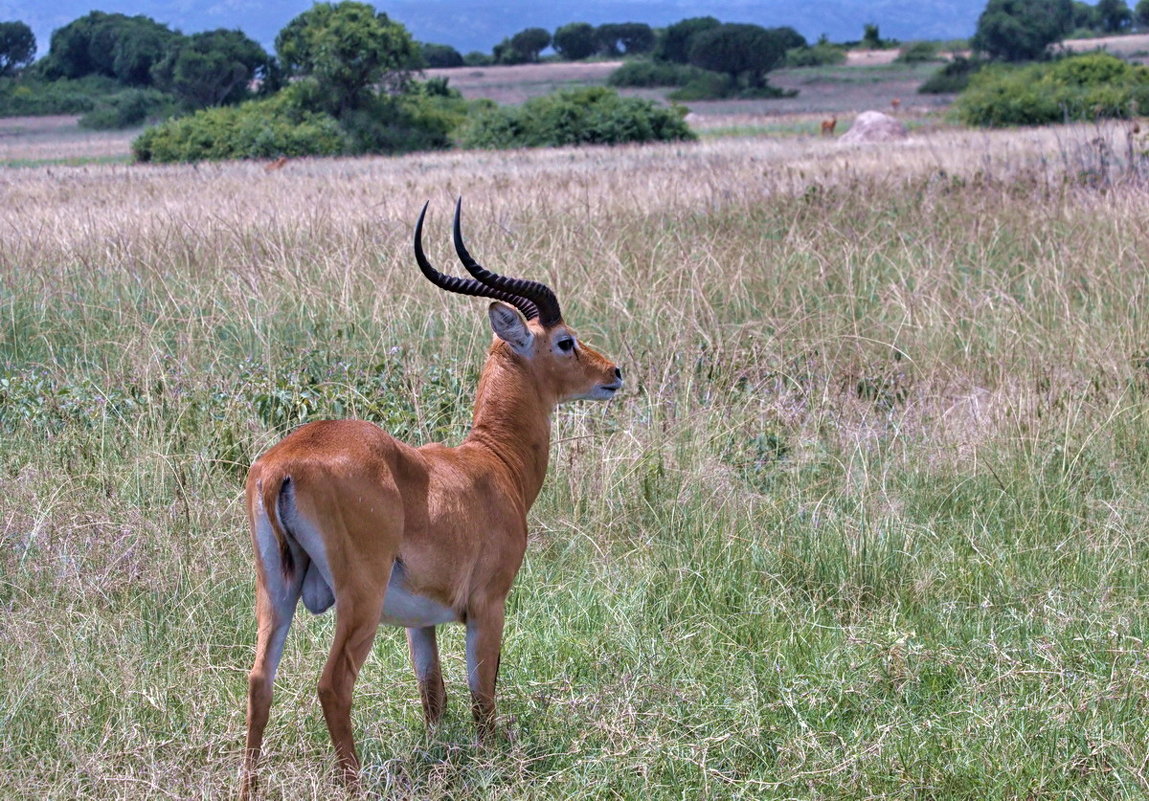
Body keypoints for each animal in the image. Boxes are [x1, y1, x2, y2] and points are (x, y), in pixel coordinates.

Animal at [236, 198, 625, 795]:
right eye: (565, 340)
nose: (614, 372)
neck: (492, 465)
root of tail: (283, 465)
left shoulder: (421, 622)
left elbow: (434, 697)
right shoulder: (488, 605)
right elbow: (483, 695)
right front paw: (490, 761)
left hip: (275, 590)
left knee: (260, 680)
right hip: (360, 600)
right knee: (332, 685)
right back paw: (354, 785)